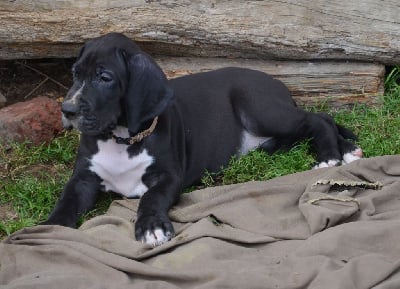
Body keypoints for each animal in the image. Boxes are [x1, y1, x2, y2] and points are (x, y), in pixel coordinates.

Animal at [44, 32, 362, 245]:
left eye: (105, 78)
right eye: (75, 74)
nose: (67, 110)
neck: (123, 140)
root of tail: (277, 83)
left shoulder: (168, 177)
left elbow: (151, 196)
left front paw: (151, 227)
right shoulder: (83, 179)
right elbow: (66, 201)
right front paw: (50, 228)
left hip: (260, 107)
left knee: (319, 118)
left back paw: (330, 156)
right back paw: (345, 149)